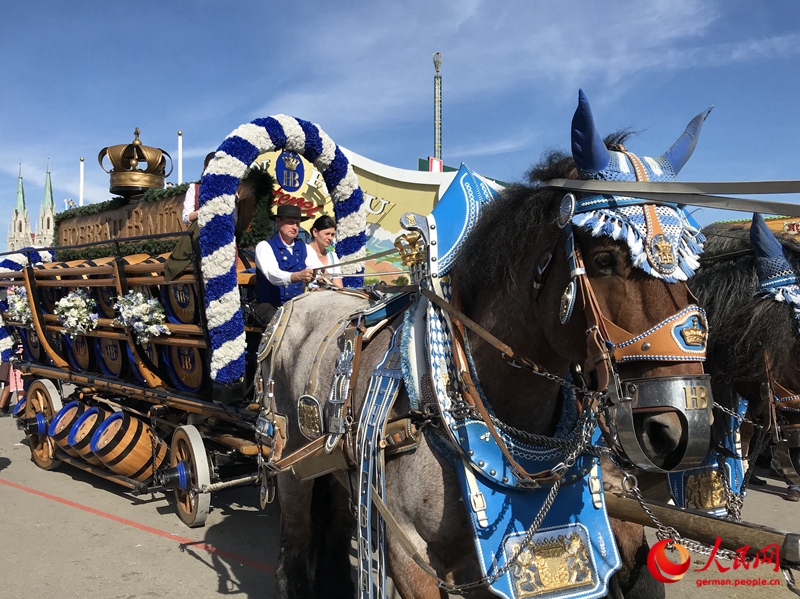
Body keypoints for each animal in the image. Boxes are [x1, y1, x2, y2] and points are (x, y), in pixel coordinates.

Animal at [268, 90, 712, 599]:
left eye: (692, 263)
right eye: (603, 259)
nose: (684, 428)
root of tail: (307, 293)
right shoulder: (408, 555)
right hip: (289, 460)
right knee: (297, 538)